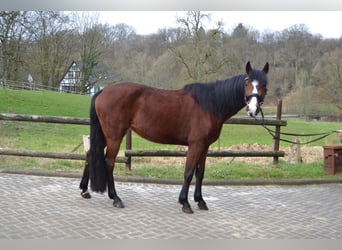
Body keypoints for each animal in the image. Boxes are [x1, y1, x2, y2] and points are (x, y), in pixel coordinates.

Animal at [80, 61, 270, 214]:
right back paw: (115, 198)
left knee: (90, 155)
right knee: (109, 162)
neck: (209, 104)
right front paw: (185, 203)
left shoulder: (205, 146)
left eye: (264, 85)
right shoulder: (195, 145)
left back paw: (84, 190)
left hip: (105, 135)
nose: (253, 109)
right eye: (247, 82)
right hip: (114, 135)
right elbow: (189, 172)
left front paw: (200, 201)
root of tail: (103, 91)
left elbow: (200, 173)